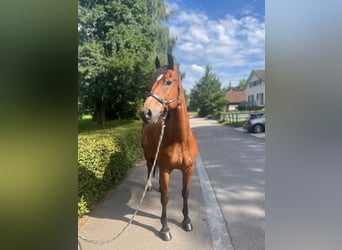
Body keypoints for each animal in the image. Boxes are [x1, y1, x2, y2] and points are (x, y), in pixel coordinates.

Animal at [140, 54, 198, 240]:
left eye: (168, 82)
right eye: (151, 81)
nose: (146, 113)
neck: (179, 140)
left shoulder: (188, 169)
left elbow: (185, 193)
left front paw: (187, 221)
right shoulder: (166, 170)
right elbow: (165, 198)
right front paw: (165, 228)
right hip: (148, 155)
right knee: (150, 168)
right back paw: (149, 185)